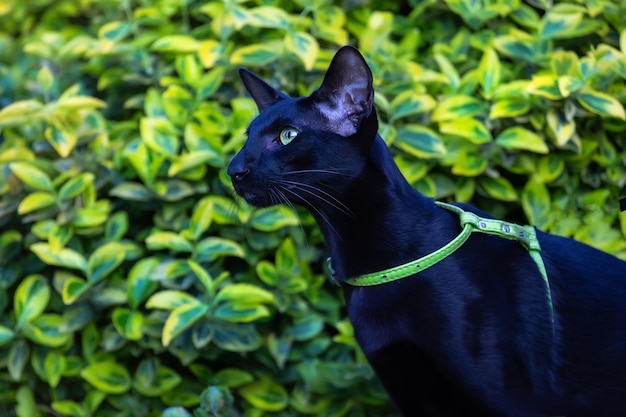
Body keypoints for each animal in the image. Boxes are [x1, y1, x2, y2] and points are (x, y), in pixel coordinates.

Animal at [225, 46, 624, 416]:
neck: (384, 265)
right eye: (247, 136)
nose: (232, 170)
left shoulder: (513, 400)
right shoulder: (409, 392)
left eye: (287, 136)